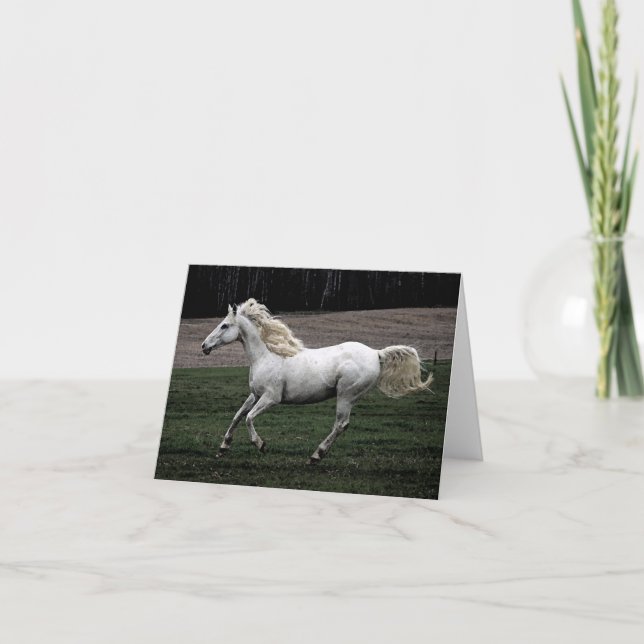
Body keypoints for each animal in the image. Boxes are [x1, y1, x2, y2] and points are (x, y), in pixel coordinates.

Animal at [201, 298, 433, 464]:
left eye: (224, 326)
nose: (204, 346)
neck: (266, 355)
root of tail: (376, 353)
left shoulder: (271, 398)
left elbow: (249, 418)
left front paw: (261, 445)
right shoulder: (255, 394)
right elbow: (237, 416)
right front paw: (223, 447)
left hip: (346, 395)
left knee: (341, 424)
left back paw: (316, 456)